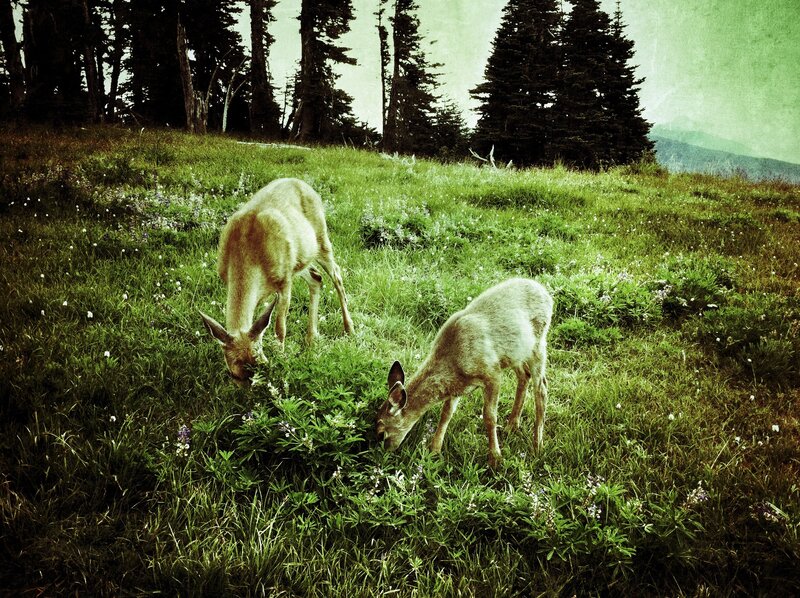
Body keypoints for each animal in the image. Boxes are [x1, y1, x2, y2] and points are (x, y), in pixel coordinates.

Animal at [200, 178, 354, 384]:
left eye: (259, 365)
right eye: (234, 374)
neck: (247, 252)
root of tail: (303, 183)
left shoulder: (284, 281)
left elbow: (279, 327)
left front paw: (281, 359)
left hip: (320, 239)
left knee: (337, 275)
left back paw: (349, 329)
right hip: (300, 259)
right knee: (316, 277)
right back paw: (311, 338)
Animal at [376, 278, 552, 468]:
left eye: (381, 432)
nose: (385, 452)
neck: (453, 361)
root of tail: (546, 294)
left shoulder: (492, 373)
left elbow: (489, 417)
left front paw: (495, 459)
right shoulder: (457, 388)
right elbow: (446, 414)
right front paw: (434, 451)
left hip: (538, 345)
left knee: (541, 388)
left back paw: (537, 446)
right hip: (517, 354)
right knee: (524, 376)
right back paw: (512, 426)